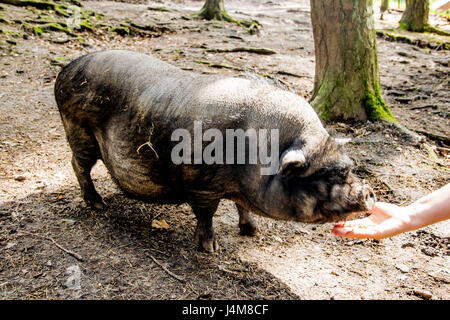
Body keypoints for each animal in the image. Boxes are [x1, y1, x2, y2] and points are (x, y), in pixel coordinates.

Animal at [54, 50, 374, 252]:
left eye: (348, 167)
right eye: (328, 174)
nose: (369, 192)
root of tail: (66, 68)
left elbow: (243, 207)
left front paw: (252, 232)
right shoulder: (202, 184)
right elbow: (207, 214)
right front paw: (210, 249)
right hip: (79, 130)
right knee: (77, 165)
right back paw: (98, 205)